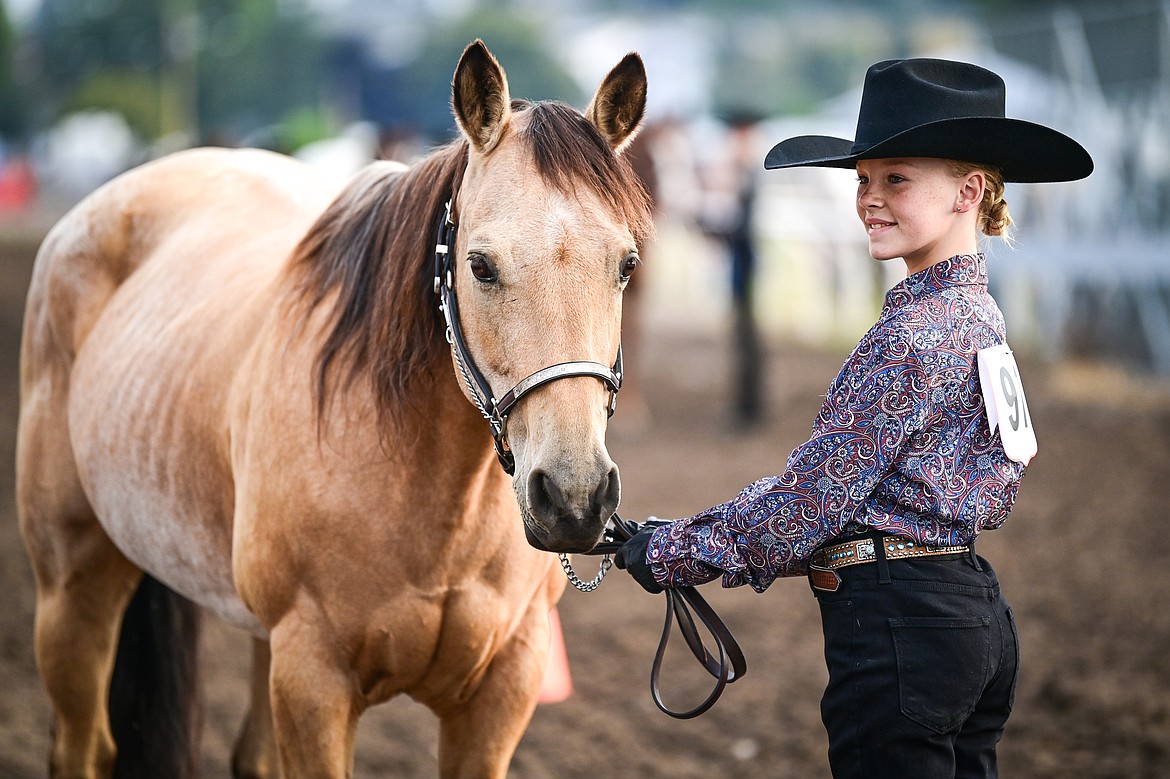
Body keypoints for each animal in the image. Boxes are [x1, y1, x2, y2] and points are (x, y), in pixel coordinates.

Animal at [18, 42, 655, 776]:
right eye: (481, 266)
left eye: (626, 264)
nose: (575, 497)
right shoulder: (312, 679)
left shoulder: (503, 690)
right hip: (73, 590)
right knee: (80, 743)